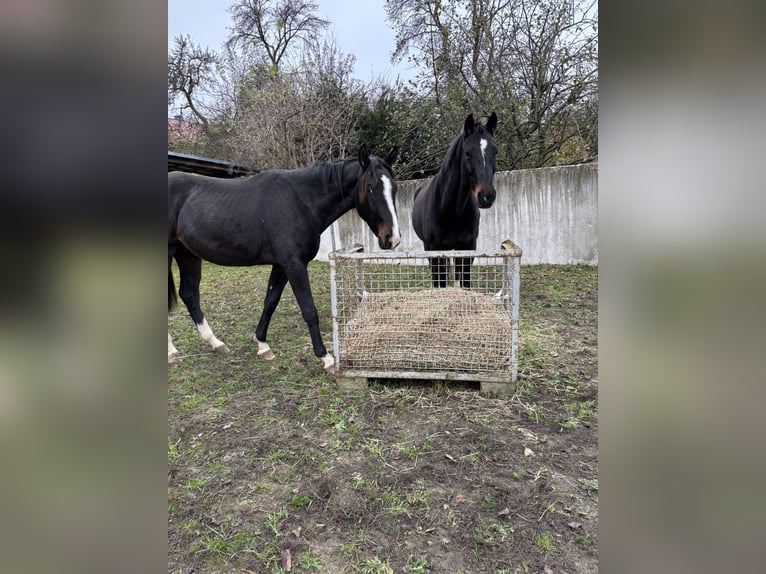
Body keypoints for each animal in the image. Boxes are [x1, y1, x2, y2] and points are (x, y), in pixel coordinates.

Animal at [169, 146, 402, 372]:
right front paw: (325, 358)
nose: (393, 238)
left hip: (188, 255)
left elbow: (270, 301)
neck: (301, 201)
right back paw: (172, 352)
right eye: (370, 188)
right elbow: (309, 310)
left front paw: (262, 345)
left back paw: (216, 343)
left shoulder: (281, 265)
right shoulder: (294, 264)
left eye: (394, 188)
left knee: (189, 295)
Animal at [412, 112, 500, 290]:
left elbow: (464, 282)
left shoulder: (467, 248)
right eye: (467, 153)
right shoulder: (436, 249)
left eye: (495, 151)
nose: (487, 196)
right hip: (428, 247)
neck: (451, 209)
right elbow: (440, 282)